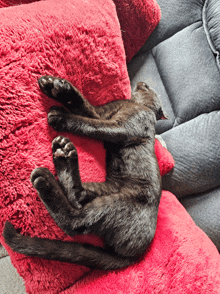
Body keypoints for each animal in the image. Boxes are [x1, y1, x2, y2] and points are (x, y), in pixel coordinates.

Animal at [2, 76, 167, 272]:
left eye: (148, 88)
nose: (142, 82)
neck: (135, 105)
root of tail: (136, 255)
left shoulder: (121, 127)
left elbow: (91, 125)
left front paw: (61, 117)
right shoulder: (102, 114)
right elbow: (84, 106)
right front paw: (57, 87)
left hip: (112, 204)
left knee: (75, 221)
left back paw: (47, 179)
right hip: (100, 189)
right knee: (77, 195)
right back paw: (63, 157)